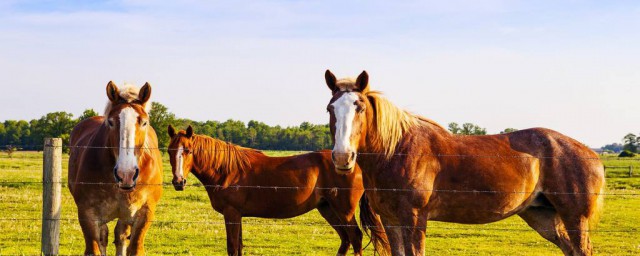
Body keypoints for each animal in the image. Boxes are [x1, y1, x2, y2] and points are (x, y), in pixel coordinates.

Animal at [69, 82, 164, 256]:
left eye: (144, 122)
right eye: (111, 122)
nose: (126, 174)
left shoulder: (145, 212)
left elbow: (134, 248)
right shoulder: (87, 214)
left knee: (121, 236)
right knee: (104, 236)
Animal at [168, 125, 388, 255]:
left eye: (188, 151)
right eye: (170, 151)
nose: (179, 181)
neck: (227, 171)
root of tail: (354, 163)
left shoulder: (232, 214)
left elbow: (233, 247)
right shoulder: (237, 215)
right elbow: (238, 247)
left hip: (344, 210)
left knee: (355, 238)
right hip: (327, 209)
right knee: (345, 239)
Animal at [324, 70, 604, 256]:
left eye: (359, 107)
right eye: (330, 108)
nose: (343, 157)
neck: (396, 151)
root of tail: (590, 153)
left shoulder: (414, 218)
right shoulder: (391, 219)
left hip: (574, 217)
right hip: (542, 216)